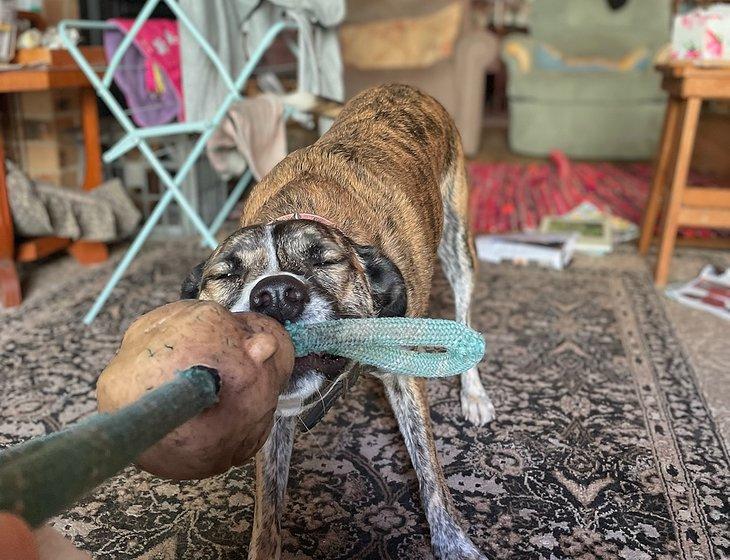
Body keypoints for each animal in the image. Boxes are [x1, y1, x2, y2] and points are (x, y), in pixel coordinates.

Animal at [179, 84, 492, 560]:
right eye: (226, 275)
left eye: (326, 261)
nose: (276, 295)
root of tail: (403, 87)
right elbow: (267, 512)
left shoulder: (404, 374)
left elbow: (430, 472)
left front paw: (454, 543)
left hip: (459, 247)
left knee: (464, 310)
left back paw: (473, 394)